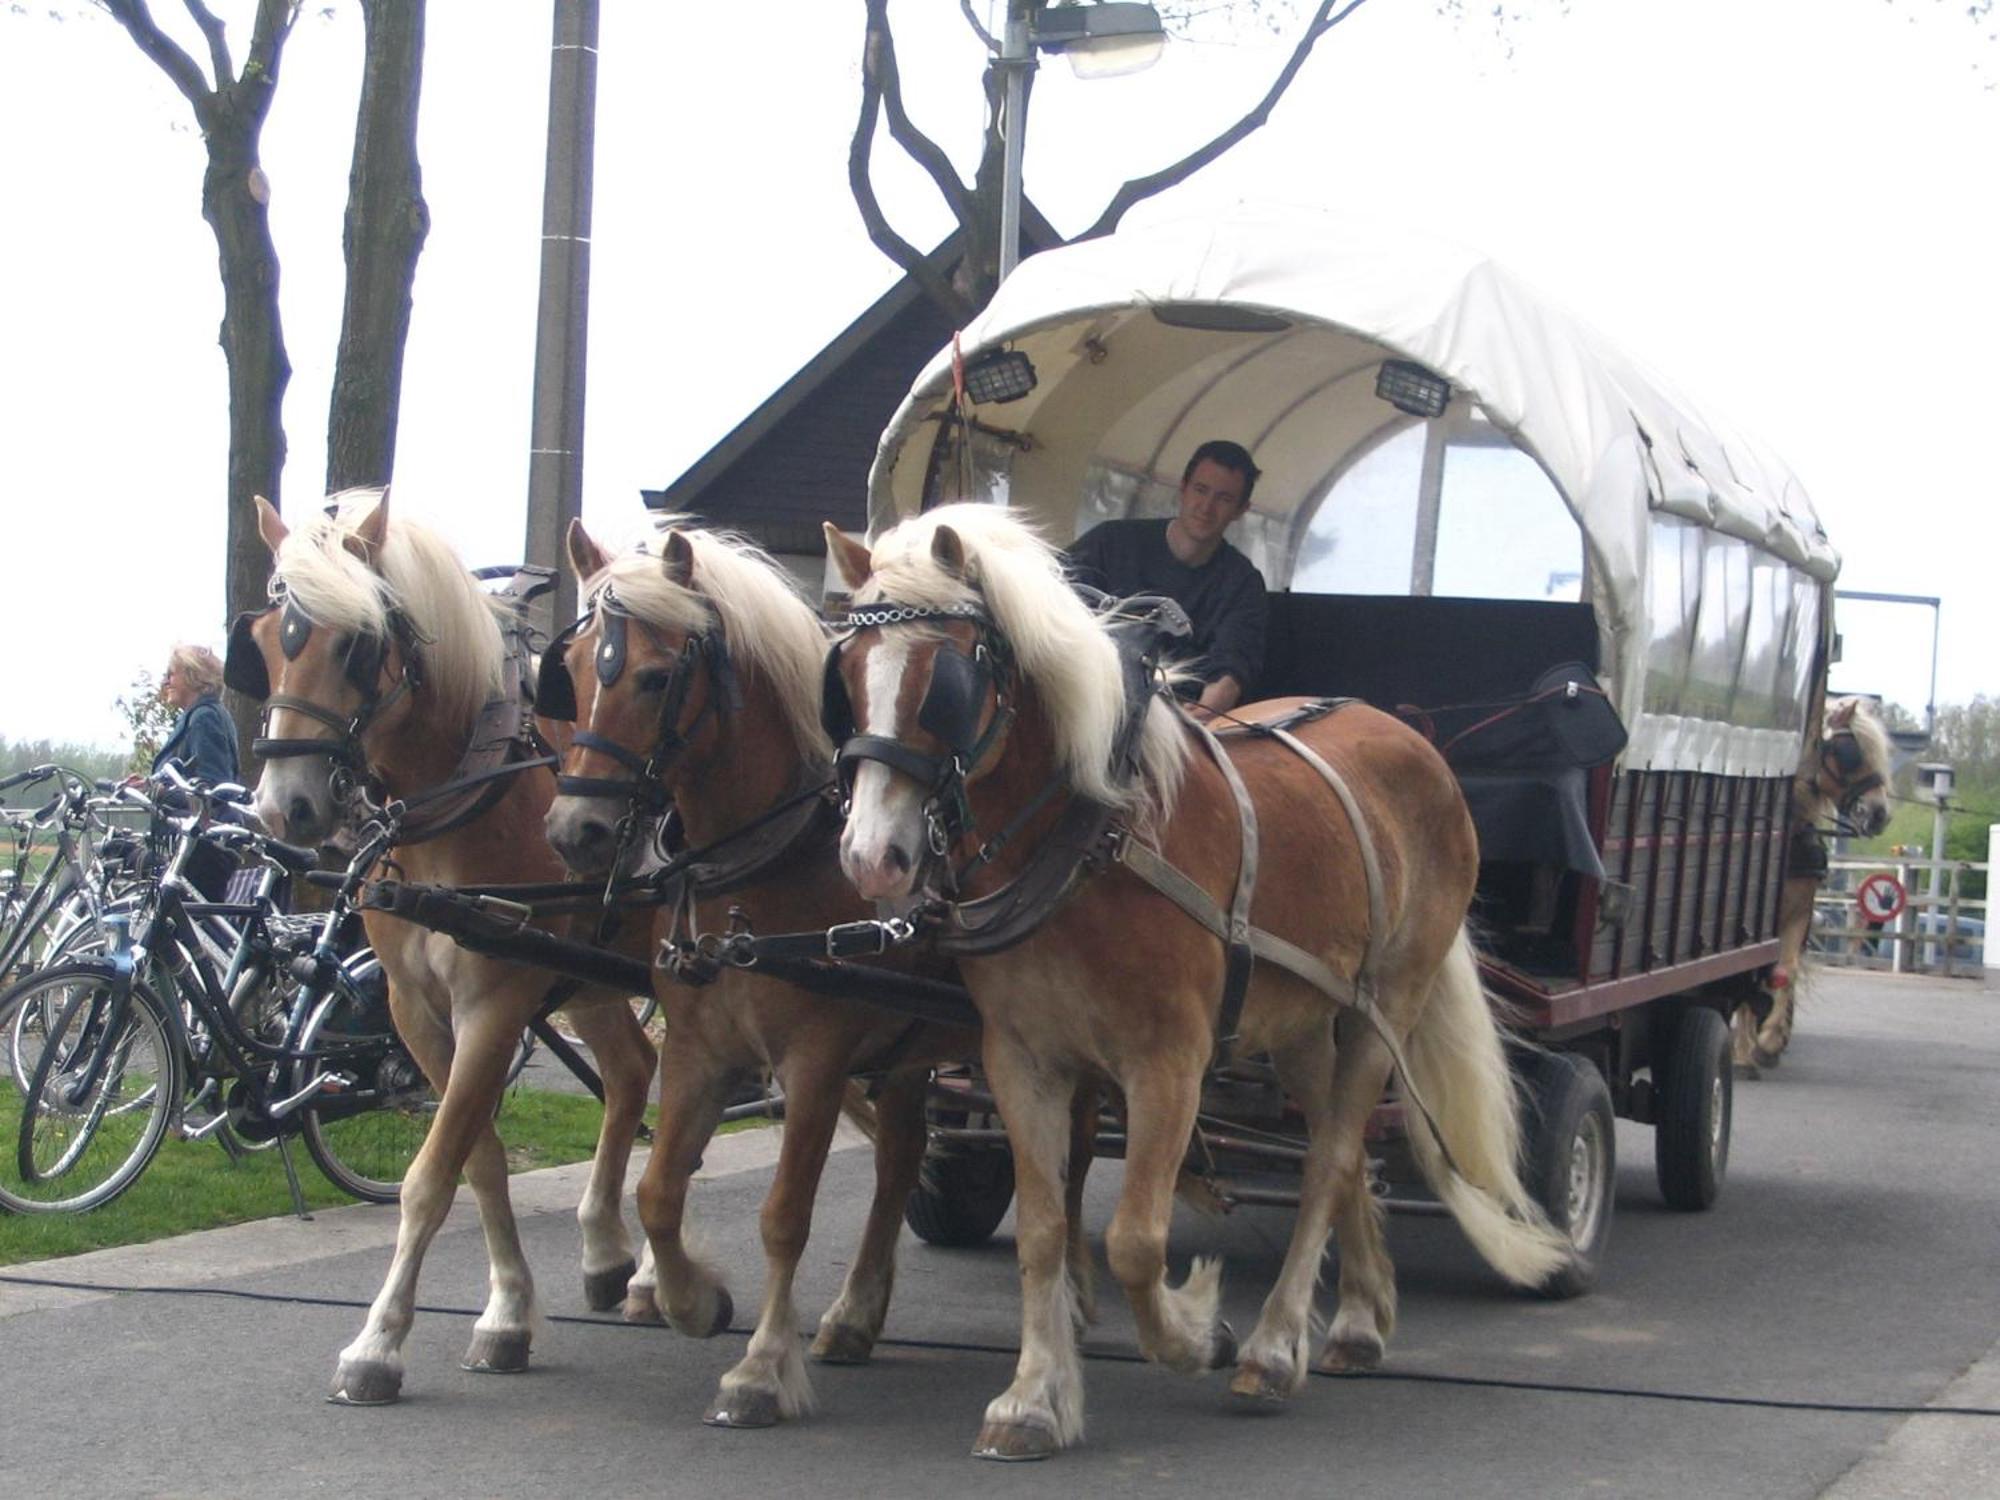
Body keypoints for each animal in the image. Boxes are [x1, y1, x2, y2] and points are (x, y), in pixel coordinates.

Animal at [234, 494, 656, 1408]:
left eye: (356, 643)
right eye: (265, 641)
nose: (286, 808)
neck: (463, 800)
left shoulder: (494, 1004)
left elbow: (432, 1173)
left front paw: (378, 1343)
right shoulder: (414, 1009)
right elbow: (480, 1158)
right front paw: (507, 1314)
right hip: (593, 979)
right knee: (635, 1072)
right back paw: (612, 1254)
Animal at [540, 520, 1008, 1432]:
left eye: (656, 677)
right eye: (570, 672)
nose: (576, 829)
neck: (768, 864)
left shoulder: (816, 1065)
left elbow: (785, 1215)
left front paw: (759, 1368)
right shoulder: (698, 1050)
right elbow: (658, 1189)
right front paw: (692, 1301)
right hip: (912, 1048)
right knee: (903, 1154)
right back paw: (856, 1315)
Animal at [820, 502, 1568, 1456]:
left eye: (944, 683)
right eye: (844, 677)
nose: (871, 858)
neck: (1085, 843)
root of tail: (1412, 736)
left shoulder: (1169, 1063)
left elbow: (1137, 1239)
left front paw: (1195, 1332)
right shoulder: (1021, 1061)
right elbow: (1043, 1229)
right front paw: (1032, 1399)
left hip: (1382, 1009)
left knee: (1330, 1160)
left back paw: (1275, 1349)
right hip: (1303, 1027)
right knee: (1345, 1153)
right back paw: (1359, 1322)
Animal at [1736, 700, 1888, 1072]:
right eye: (1850, 752)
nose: (1880, 813)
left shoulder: (1798, 914)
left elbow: (1785, 972)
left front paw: (1767, 1041)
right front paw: (1744, 1051)